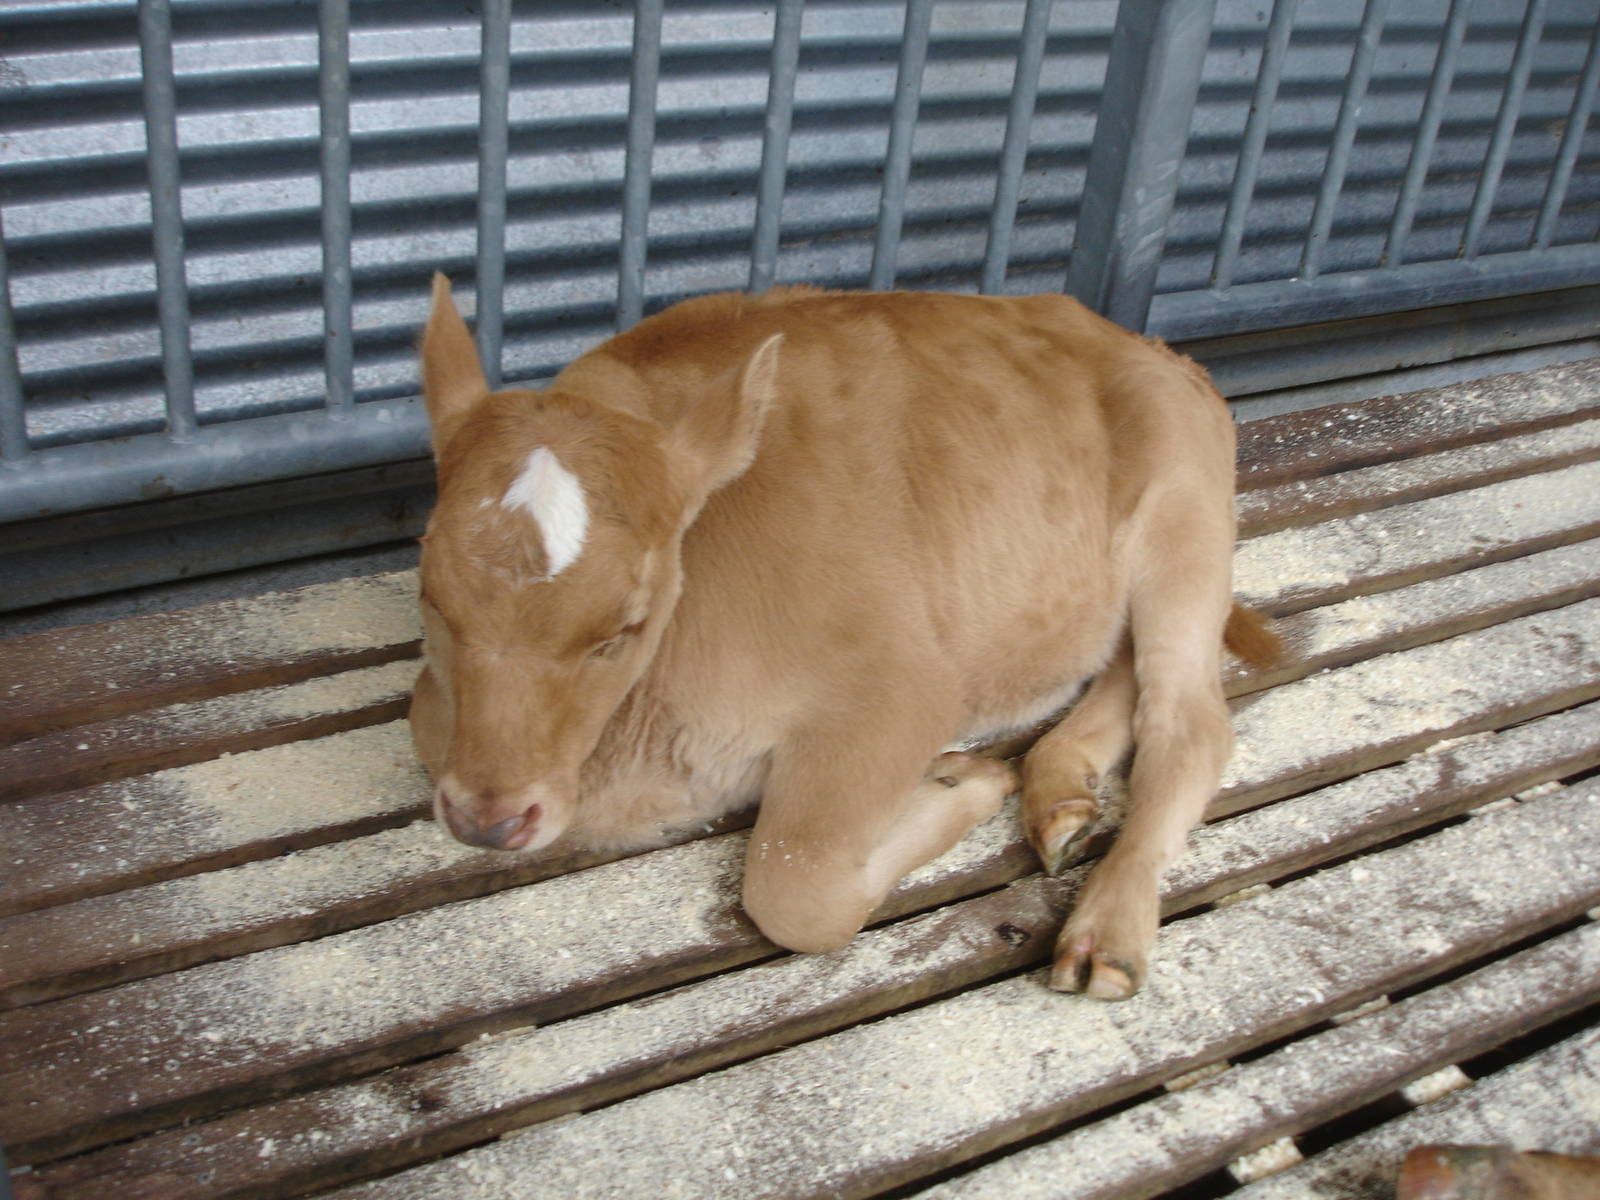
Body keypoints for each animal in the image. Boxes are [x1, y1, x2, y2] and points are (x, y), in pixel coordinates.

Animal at [409, 276, 1278, 1000]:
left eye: (623, 628)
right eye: (432, 600)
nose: (487, 821)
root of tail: (1137, 340)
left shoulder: (901, 690)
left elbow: (796, 888)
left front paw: (965, 781)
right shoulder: (435, 719)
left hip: (1184, 522)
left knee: (1188, 721)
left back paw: (1106, 929)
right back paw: (1059, 792)